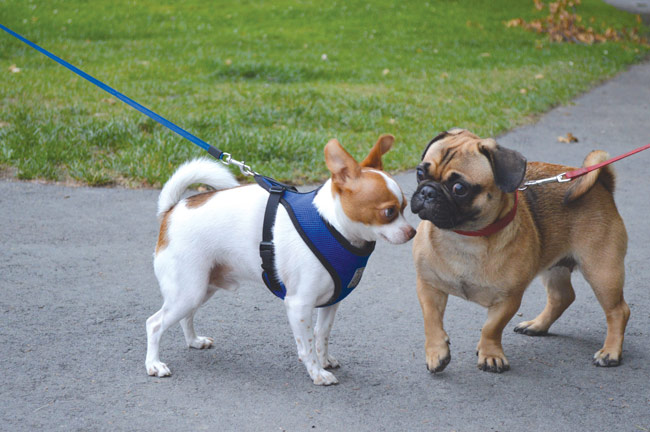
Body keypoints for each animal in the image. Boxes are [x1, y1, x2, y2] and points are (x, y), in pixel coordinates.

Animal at [410, 127, 628, 372]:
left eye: (459, 188)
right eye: (420, 173)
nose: (427, 191)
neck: (464, 236)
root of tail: (602, 185)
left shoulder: (508, 299)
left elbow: (491, 328)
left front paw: (490, 354)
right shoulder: (428, 286)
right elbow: (432, 321)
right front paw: (437, 352)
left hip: (602, 272)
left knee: (618, 311)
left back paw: (610, 352)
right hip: (556, 268)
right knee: (562, 297)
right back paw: (537, 325)